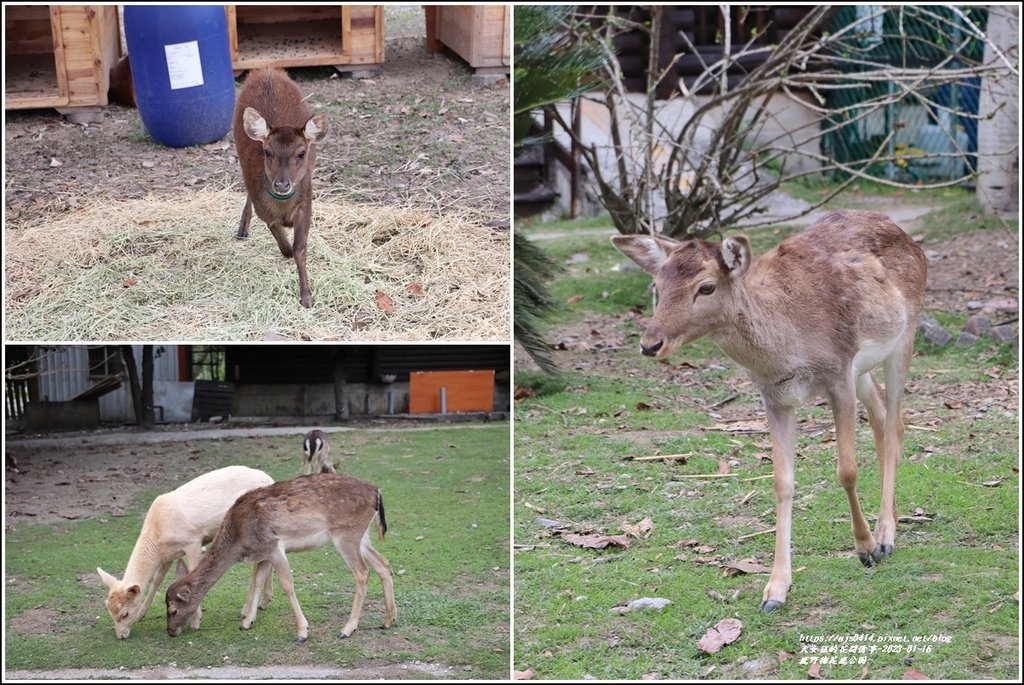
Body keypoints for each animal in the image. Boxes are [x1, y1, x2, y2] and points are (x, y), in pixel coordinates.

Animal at [93, 464, 272, 634]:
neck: (158, 536)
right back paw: (264, 602)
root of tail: (269, 478)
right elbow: (157, 580)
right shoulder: (167, 555)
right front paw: (142, 614)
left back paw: (247, 610)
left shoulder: (193, 541)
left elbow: (192, 572)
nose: (121, 635)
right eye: (109, 610)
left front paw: (196, 622)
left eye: (125, 614)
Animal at [165, 471, 393, 643]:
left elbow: (287, 584)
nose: (171, 631)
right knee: (383, 563)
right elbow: (258, 580)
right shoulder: (264, 552)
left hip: (346, 535)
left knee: (362, 573)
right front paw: (247, 622)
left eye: (173, 610)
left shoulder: (273, 545)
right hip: (362, 536)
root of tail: (377, 492)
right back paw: (389, 620)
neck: (238, 539)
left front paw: (302, 632)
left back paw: (347, 629)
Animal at [233, 66, 325, 307]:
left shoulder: (306, 206)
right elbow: (286, 248)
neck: (284, 208)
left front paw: (306, 298)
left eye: (301, 153)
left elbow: (299, 249)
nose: (282, 183)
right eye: (267, 151)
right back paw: (242, 229)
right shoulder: (266, 214)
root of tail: (265, 71)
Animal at [610, 210, 933, 610]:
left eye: (706, 287)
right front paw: (775, 589)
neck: (787, 348)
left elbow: (846, 470)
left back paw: (886, 534)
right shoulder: (775, 395)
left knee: (895, 422)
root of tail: (903, 232)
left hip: (905, 335)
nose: (650, 343)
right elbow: (782, 481)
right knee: (881, 413)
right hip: (863, 368)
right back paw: (894, 518)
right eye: (657, 283)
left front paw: (866, 548)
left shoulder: (838, 374)